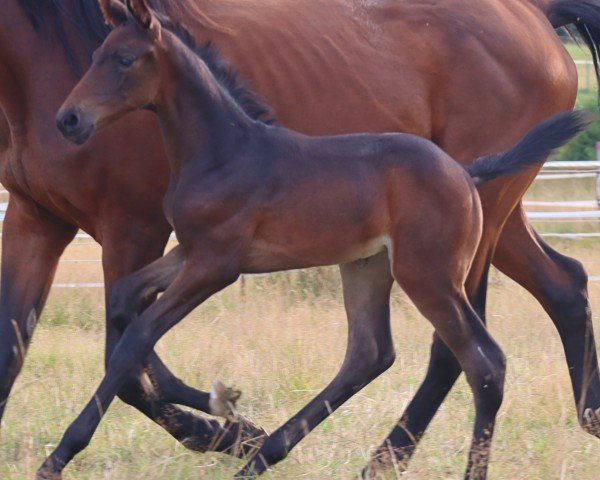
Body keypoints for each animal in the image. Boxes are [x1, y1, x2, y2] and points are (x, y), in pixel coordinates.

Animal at [47, 1, 592, 478]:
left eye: (124, 59)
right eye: (95, 55)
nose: (68, 120)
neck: (224, 150)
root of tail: (466, 172)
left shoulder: (217, 264)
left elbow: (138, 334)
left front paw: (61, 453)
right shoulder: (190, 251)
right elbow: (124, 300)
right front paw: (221, 408)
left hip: (428, 276)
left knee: (484, 362)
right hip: (369, 266)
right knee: (369, 353)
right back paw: (261, 459)